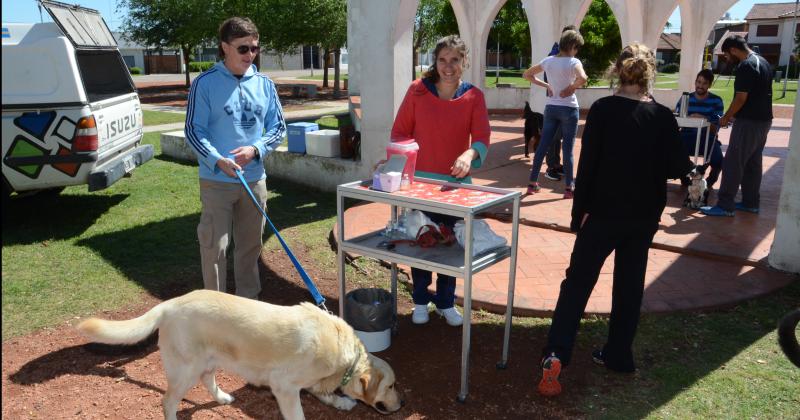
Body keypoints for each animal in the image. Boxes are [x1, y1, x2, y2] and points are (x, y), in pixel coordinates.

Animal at [76, 290, 404, 420]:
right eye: (390, 386)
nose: (402, 404)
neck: (344, 354)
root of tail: (170, 304)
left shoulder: (305, 384)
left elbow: (324, 393)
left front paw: (341, 402)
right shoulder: (284, 386)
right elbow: (298, 412)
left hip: (207, 362)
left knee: (208, 382)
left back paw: (222, 398)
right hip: (185, 371)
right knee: (167, 401)